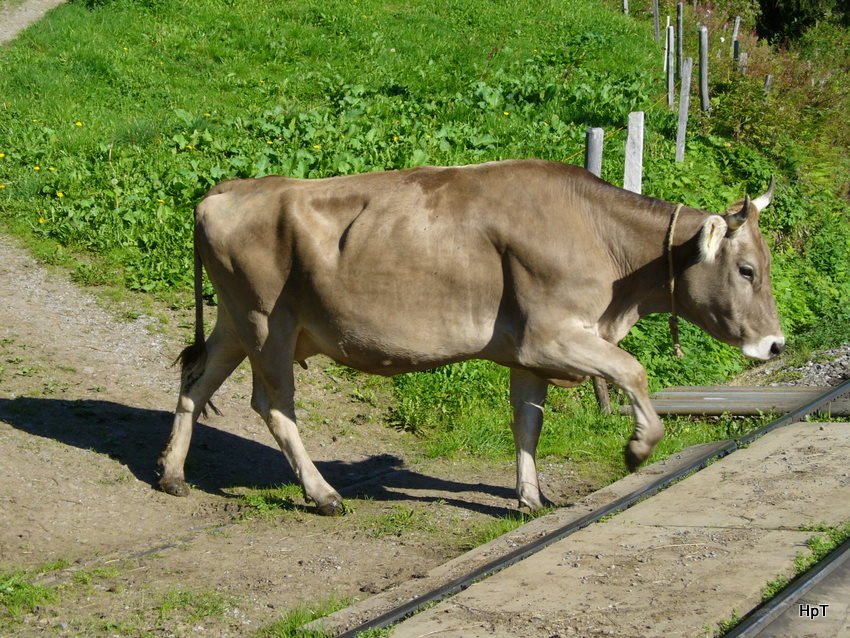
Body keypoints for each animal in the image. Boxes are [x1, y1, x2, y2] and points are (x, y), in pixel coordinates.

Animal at [159, 160, 780, 516]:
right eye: (747, 270)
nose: (776, 345)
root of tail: (225, 190)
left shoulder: (526, 352)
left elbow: (527, 421)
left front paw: (531, 498)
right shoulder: (549, 336)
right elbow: (633, 370)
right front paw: (638, 448)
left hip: (236, 320)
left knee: (196, 378)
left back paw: (171, 475)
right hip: (267, 322)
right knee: (273, 404)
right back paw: (323, 494)